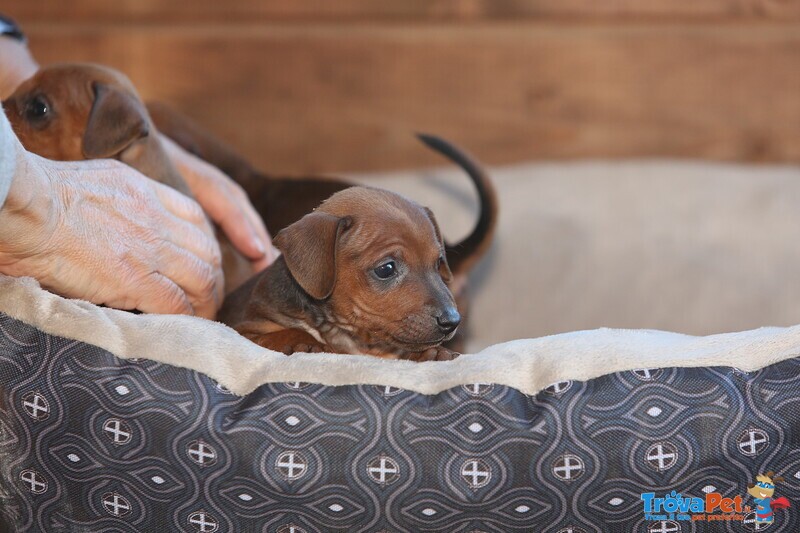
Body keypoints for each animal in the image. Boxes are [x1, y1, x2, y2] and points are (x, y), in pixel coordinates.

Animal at [219, 186, 460, 362]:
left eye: (438, 263)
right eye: (386, 269)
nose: (452, 321)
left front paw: (431, 353)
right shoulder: (245, 331)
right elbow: (288, 331)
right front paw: (308, 343)